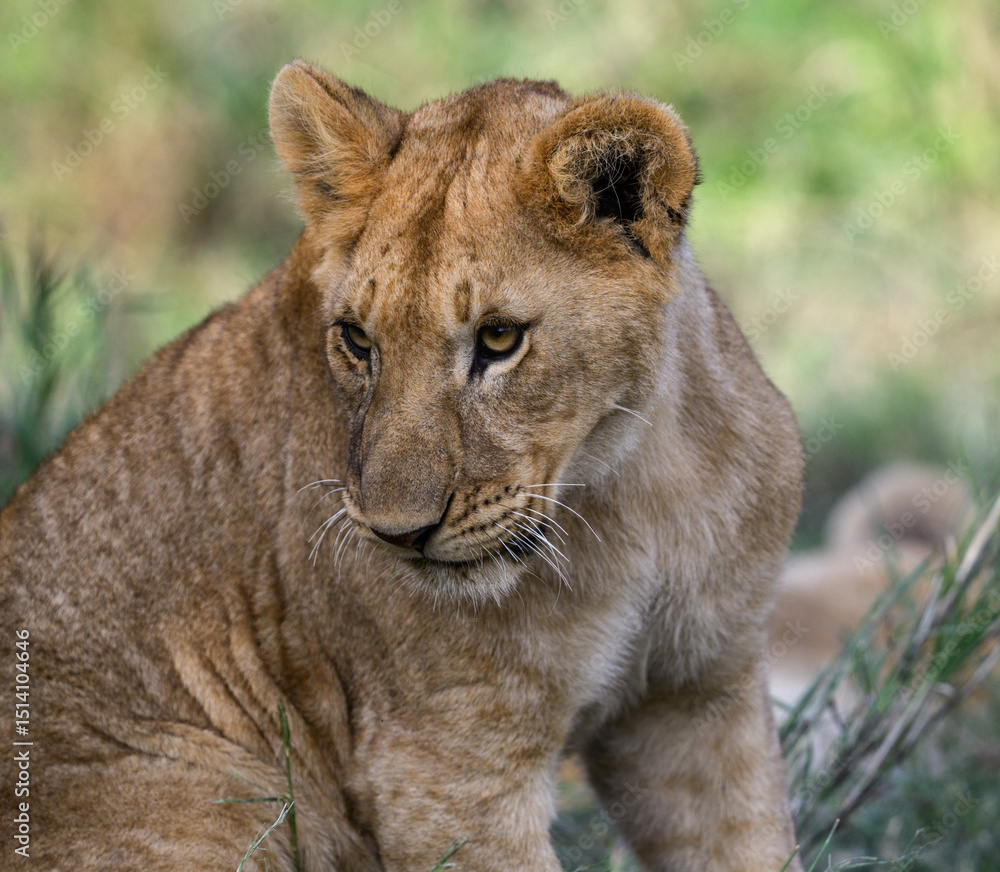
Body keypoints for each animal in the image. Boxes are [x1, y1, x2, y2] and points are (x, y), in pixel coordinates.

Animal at [0, 61, 804, 871]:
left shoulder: (700, 699)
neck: (630, 488)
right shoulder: (442, 764)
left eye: (500, 338)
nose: (398, 534)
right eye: (358, 340)